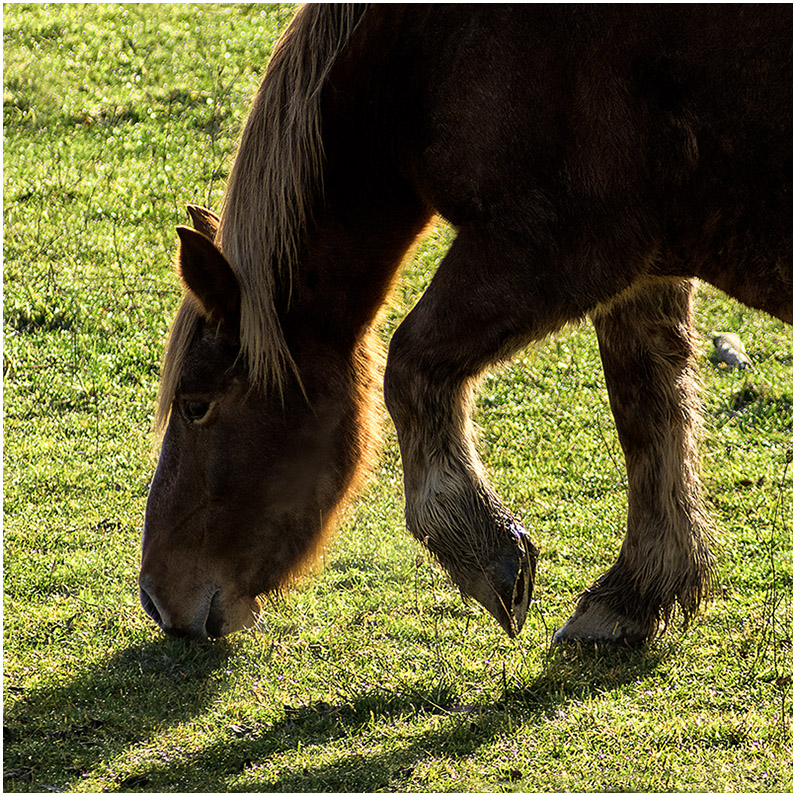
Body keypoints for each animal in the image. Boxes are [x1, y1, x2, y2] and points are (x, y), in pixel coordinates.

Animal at [139, 5, 792, 644]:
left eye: (197, 404)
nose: (155, 600)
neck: (432, 50)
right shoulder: (645, 272)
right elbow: (649, 412)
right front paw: (634, 595)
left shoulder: (558, 247)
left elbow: (409, 367)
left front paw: (487, 554)